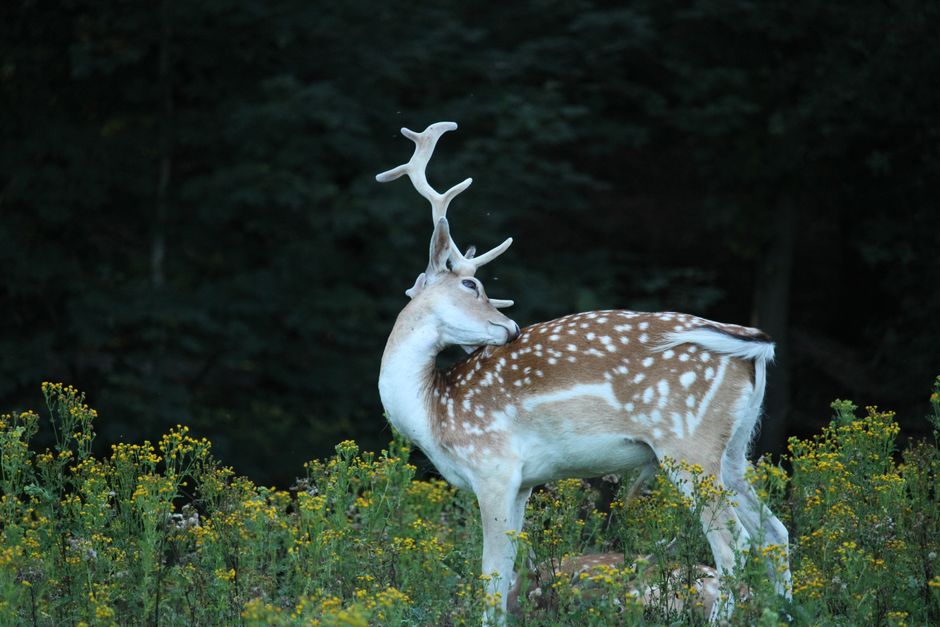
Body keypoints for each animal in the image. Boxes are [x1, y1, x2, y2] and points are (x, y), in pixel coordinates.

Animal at [375, 122, 791, 623]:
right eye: (471, 284)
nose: (511, 328)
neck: (433, 412)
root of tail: (752, 341)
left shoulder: (494, 466)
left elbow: (492, 578)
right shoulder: (523, 483)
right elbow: (511, 573)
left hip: (688, 444)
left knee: (735, 547)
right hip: (734, 450)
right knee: (775, 534)